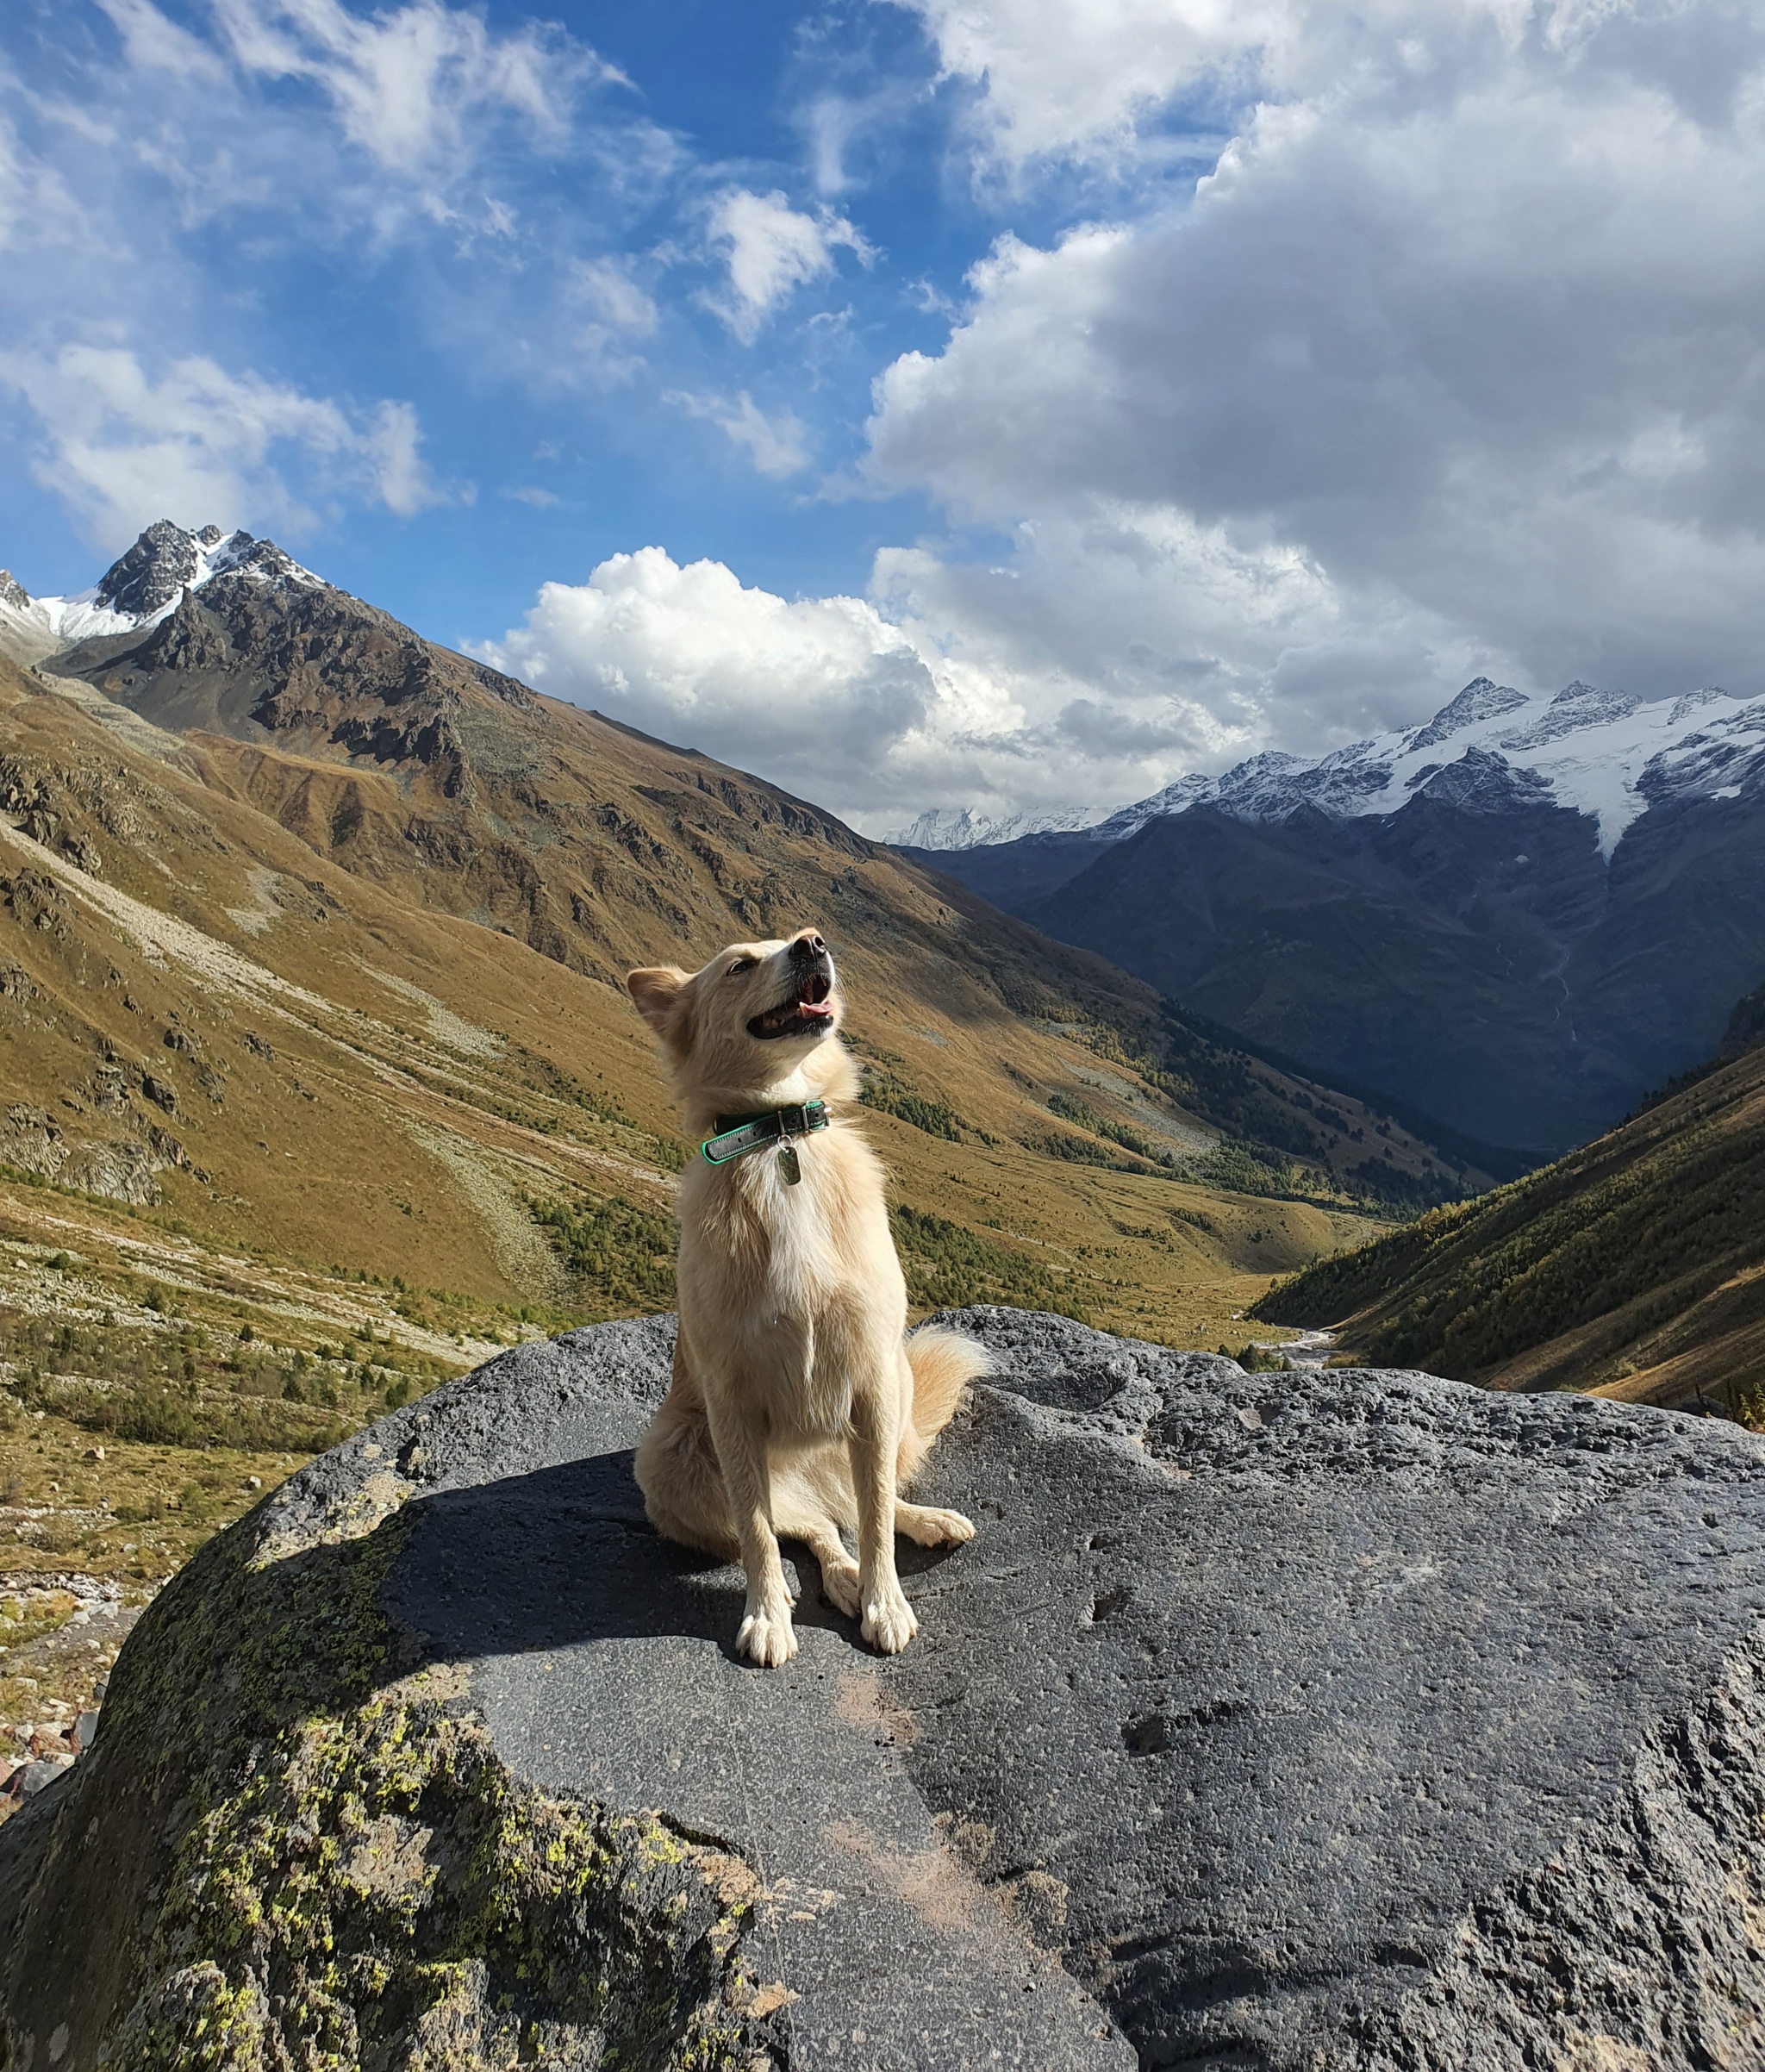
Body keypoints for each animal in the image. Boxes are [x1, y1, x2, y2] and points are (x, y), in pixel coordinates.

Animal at [625, 932, 986, 1674]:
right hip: (670, 1456)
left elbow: (876, 1515)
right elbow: (760, 1532)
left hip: (896, 1386)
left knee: (862, 1502)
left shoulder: (873, 1380)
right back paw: (836, 1579)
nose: (812, 944)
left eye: (798, 938)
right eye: (739, 964)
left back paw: (923, 1526)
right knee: (816, 1525)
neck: (778, 1134)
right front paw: (767, 1615)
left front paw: (886, 1603)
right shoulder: (731, 1404)